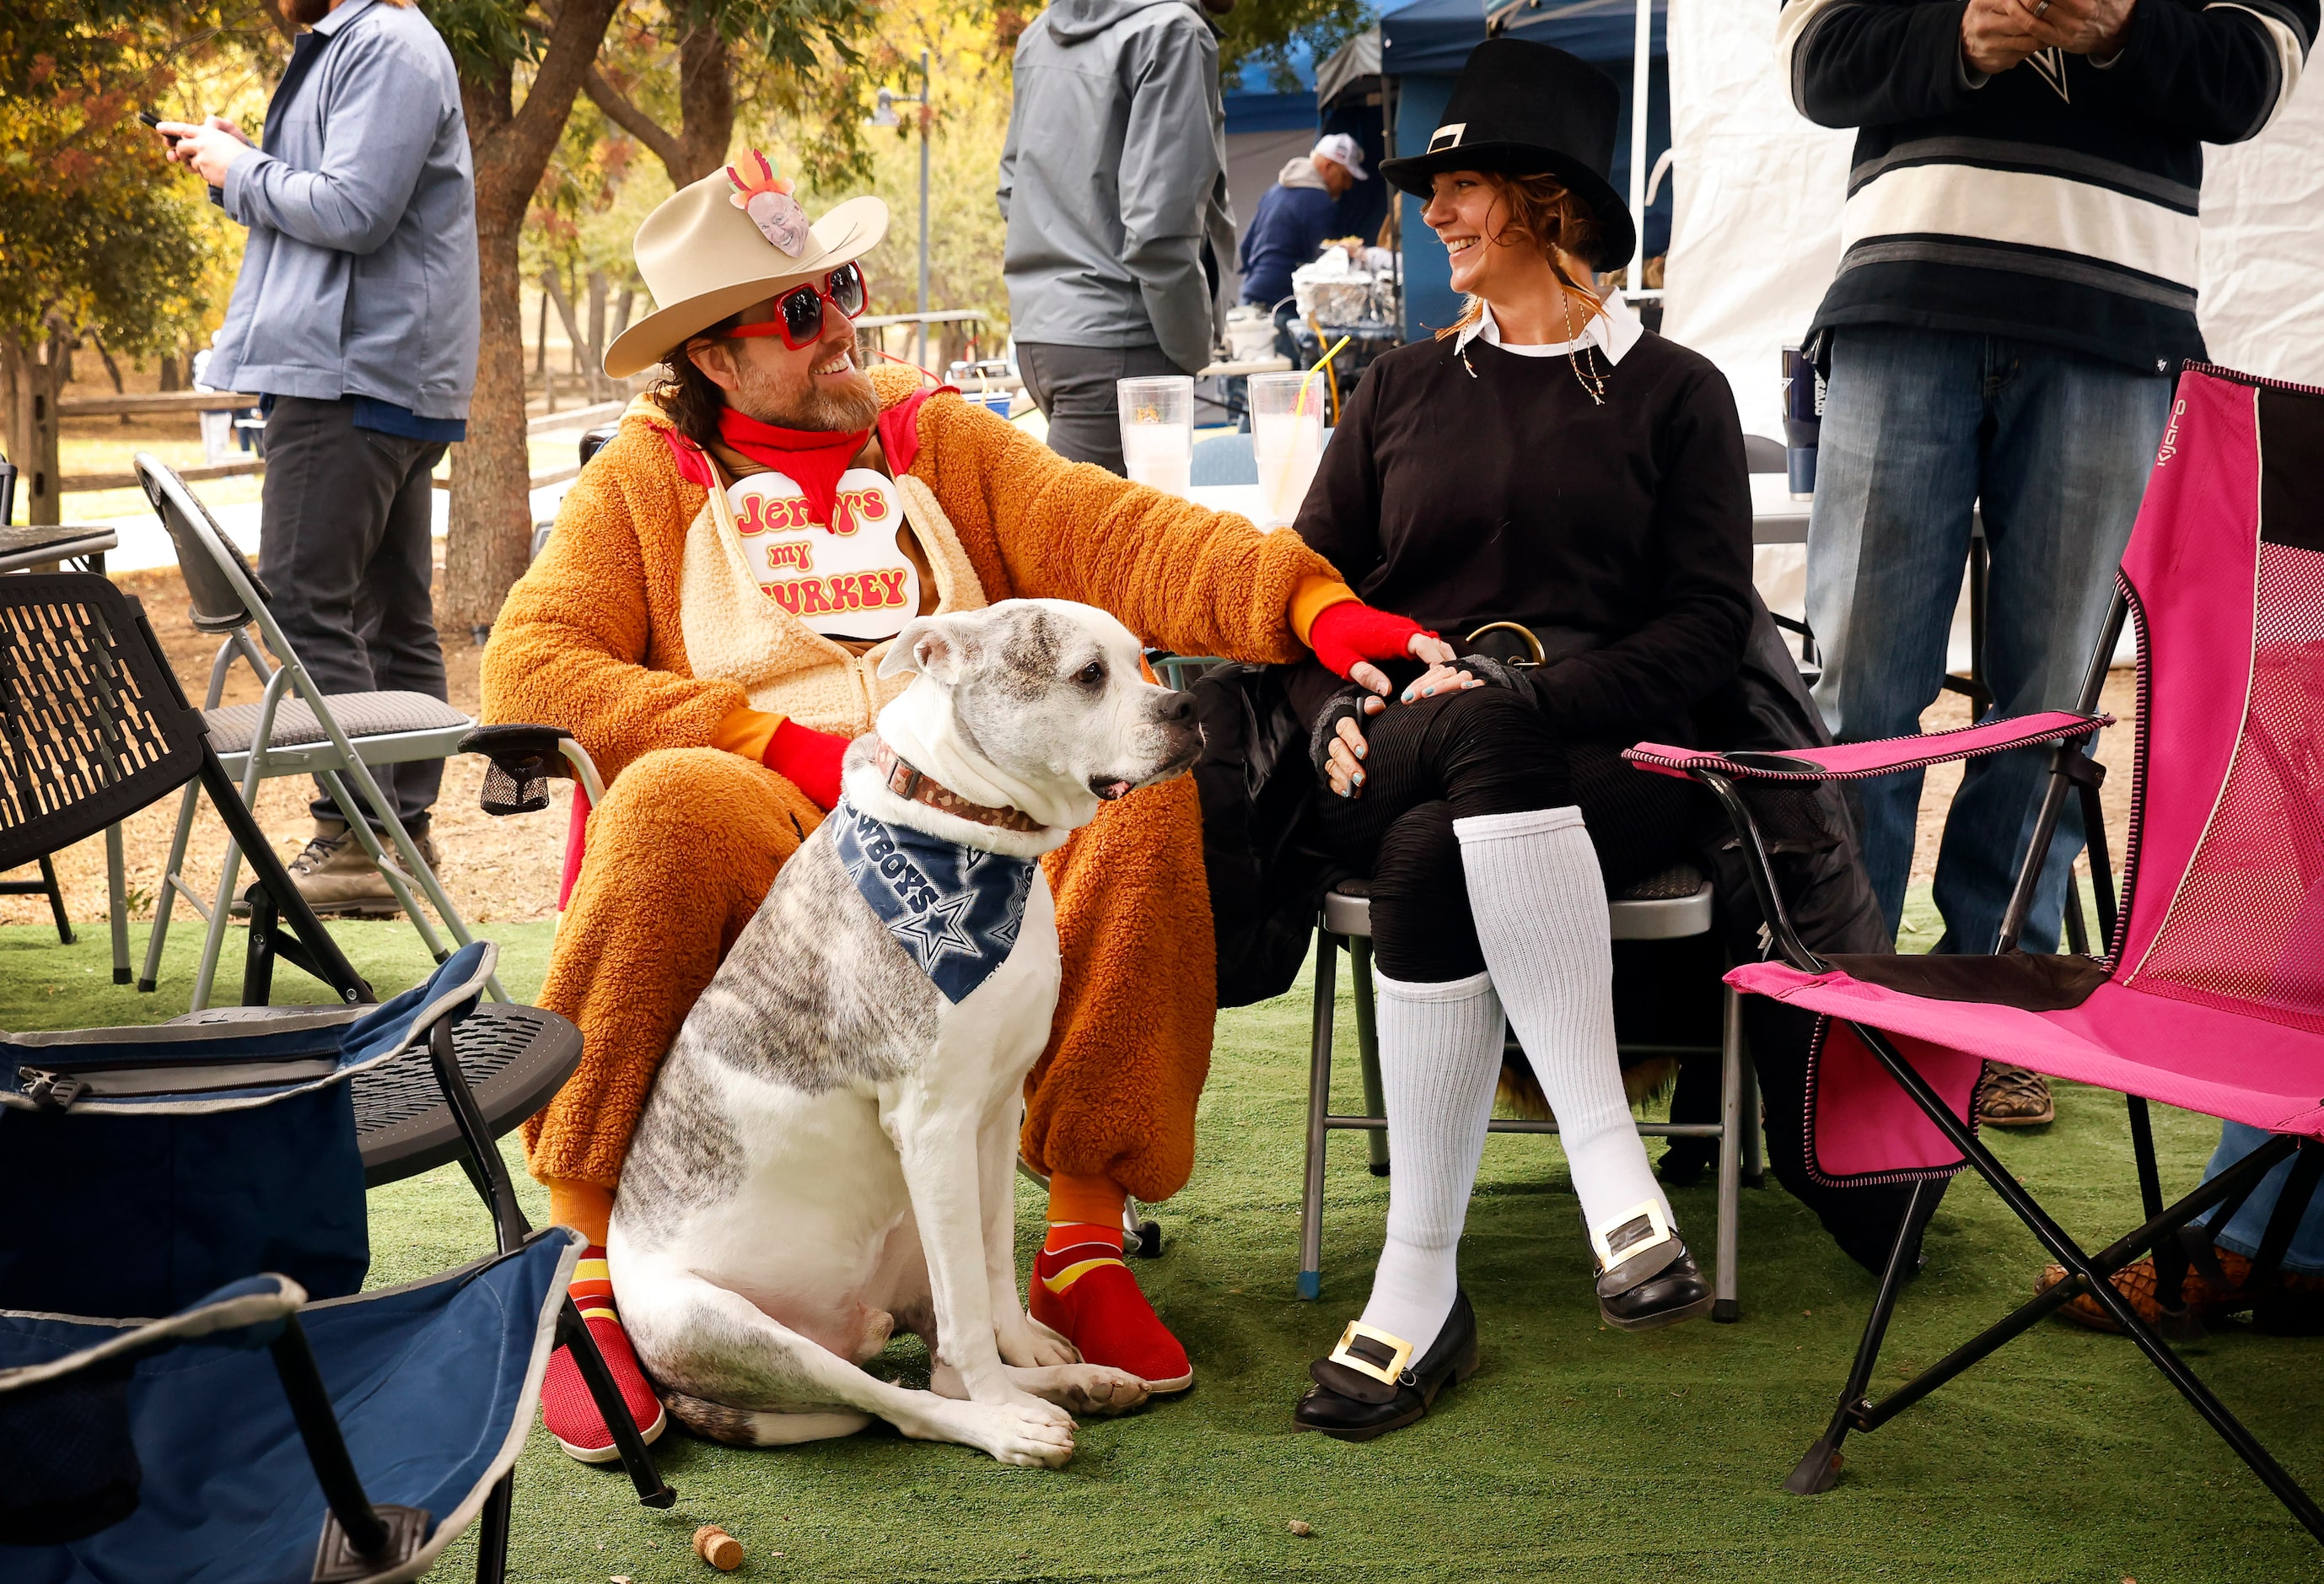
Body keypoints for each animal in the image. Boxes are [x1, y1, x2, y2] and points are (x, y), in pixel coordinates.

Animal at [604, 600, 1199, 1460]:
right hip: (734, 1326)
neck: (967, 835)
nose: (1187, 708)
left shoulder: (993, 1117)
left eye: (1140, 661)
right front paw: (1004, 1403)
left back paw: (1074, 1382)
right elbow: (968, 1317)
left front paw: (1028, 1352)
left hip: (915, 1223)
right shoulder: (936, 1124)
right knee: (907, 1401)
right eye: (1090, 674)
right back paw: (1004, 1422)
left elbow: (991, 1267)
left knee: (941, 1357)